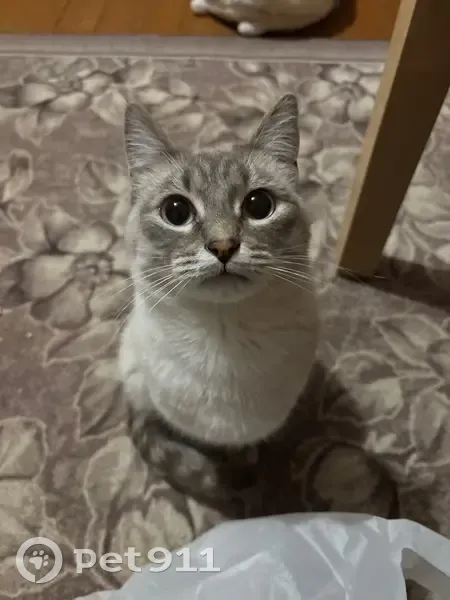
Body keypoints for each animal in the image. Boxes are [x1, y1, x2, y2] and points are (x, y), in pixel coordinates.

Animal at [119, 94, 319, 511]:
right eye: (176, 211)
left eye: (259, 205)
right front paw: (228, 477)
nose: (223, 246)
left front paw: (245, 467)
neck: (226, 340)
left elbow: (243, 450)